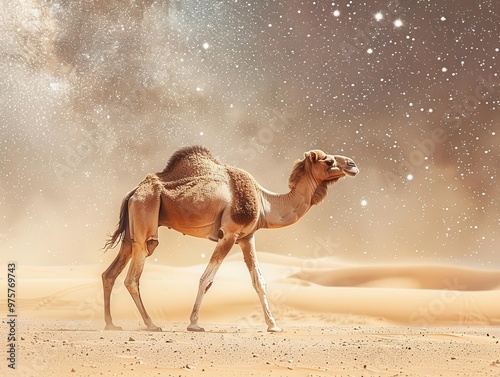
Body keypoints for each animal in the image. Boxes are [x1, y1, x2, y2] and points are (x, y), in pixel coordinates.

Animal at [102, 145, 360, 330]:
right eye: (328, 161)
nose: (353, 164)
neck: (265, 203)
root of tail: (133, 192)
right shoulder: (229, 234)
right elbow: (206, 279)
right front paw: (194, 324)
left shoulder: (247, 238)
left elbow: (259, 281)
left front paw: (273, 325)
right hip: (146, 222)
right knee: (132, 278)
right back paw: (151, 324)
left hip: (131, 234)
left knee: (109, 274)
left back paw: (111, 324)